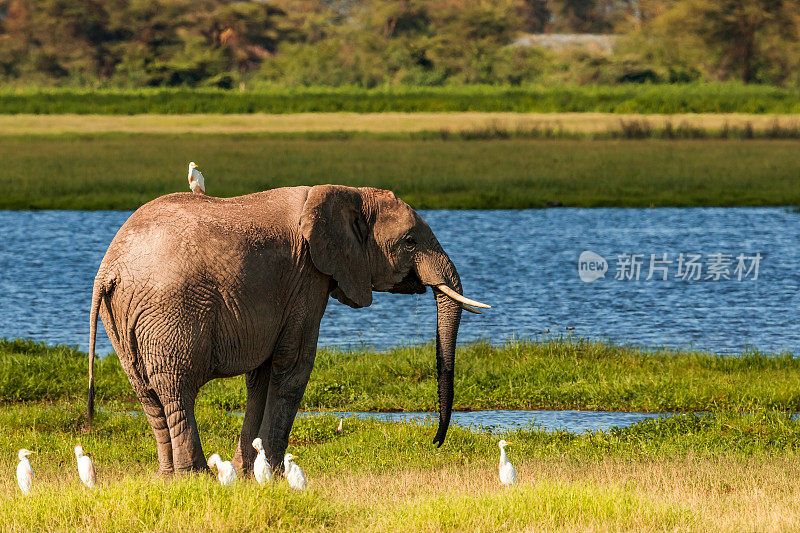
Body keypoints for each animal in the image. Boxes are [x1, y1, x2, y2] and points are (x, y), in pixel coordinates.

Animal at [87, 186, 488, 474]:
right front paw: (275, 474)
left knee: (147, 392)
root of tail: (110, 269)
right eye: (410, 242)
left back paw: (169, 475)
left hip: (122, 318)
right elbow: (293, 367)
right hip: (171, 310)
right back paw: (195, 475)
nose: (435, 442)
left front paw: (249, 471)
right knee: (176, 388)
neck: (349, 193)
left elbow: (263, 376)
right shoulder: (307, 278)